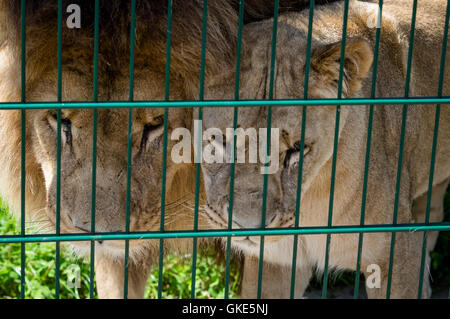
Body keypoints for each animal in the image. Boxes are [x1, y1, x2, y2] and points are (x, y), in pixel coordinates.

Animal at [200, 0, 450, 300]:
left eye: (297, 149)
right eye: (220, 141)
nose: (246, 227)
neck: (310, 199)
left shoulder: (396, 256)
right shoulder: (275, 262)